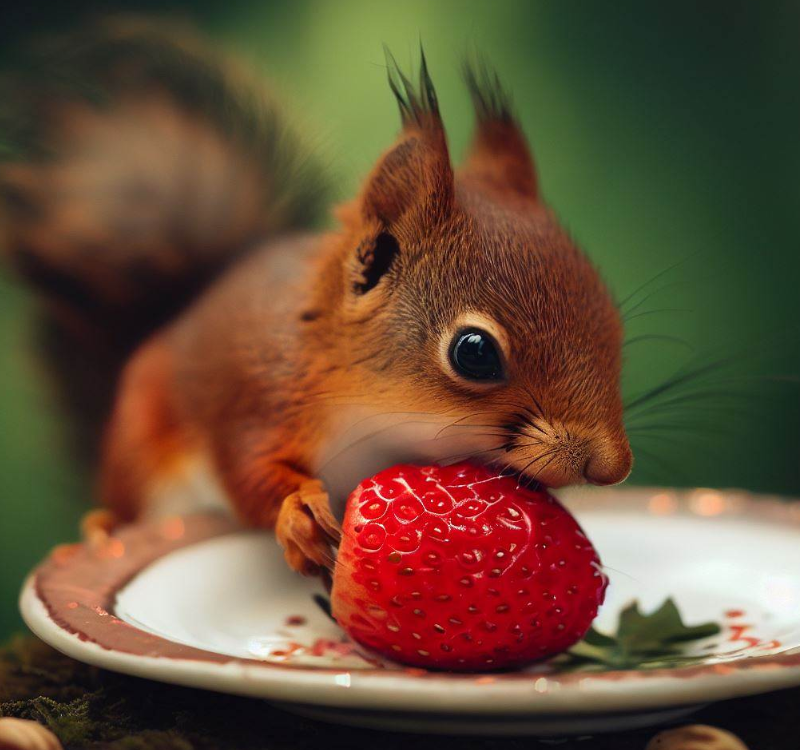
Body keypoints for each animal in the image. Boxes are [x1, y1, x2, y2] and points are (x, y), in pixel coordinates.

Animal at [0, 20, 632, 575]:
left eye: (611, 317)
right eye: (474, 352)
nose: (613, 467)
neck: (375, 407)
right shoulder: (260, 397)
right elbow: (248, 469)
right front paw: (298, 514)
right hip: (141, 450)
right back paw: (102, 526)